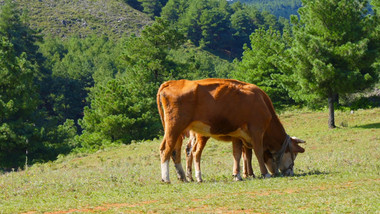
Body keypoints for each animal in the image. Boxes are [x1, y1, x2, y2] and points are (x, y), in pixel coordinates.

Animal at [157, 78, 306, 182]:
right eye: (294, 153)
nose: (290, 172)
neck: (262, 102)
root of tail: (171, 82)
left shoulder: (238, 135)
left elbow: (238, 154)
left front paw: (238, 175)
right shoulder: (257, 131)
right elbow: (257, 152)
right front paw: (264, 173)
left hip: (178, 130)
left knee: (176, 151)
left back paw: (183, 176)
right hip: (175, 126)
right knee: (167, 149)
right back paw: (167, 178)